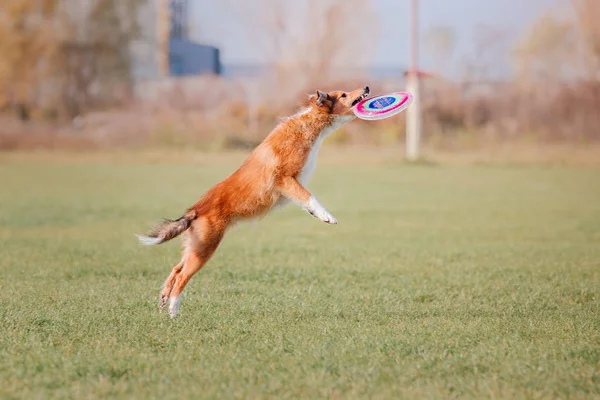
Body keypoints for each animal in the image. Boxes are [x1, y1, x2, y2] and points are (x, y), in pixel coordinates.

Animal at [137, 86, 370, 318]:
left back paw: (163, 299)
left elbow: (305, 200)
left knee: (176, 269)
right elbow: (309, 196)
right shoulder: (285, 179)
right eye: (343, 95)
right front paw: (327, 216)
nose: (366, 88)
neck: (309, 124)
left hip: (195, 246)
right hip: (205, 248)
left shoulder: (291, 186)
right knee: (182, 276)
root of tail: (195, 210)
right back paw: (173, 310)